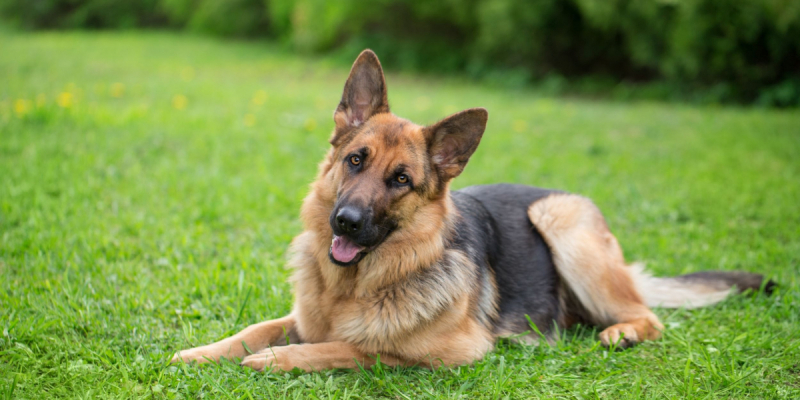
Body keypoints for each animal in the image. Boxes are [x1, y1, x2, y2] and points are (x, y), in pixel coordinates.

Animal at [172, 50, 772, 372]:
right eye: (354, 160)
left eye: (401, 180)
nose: (345, 222)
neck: (354, 286)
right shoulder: (300, 317)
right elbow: (256, 328)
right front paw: (201, 352)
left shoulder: (448, 352)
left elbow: (351, 348)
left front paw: (279, 361)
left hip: (560, 220)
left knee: (648, 316)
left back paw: (620, 332)